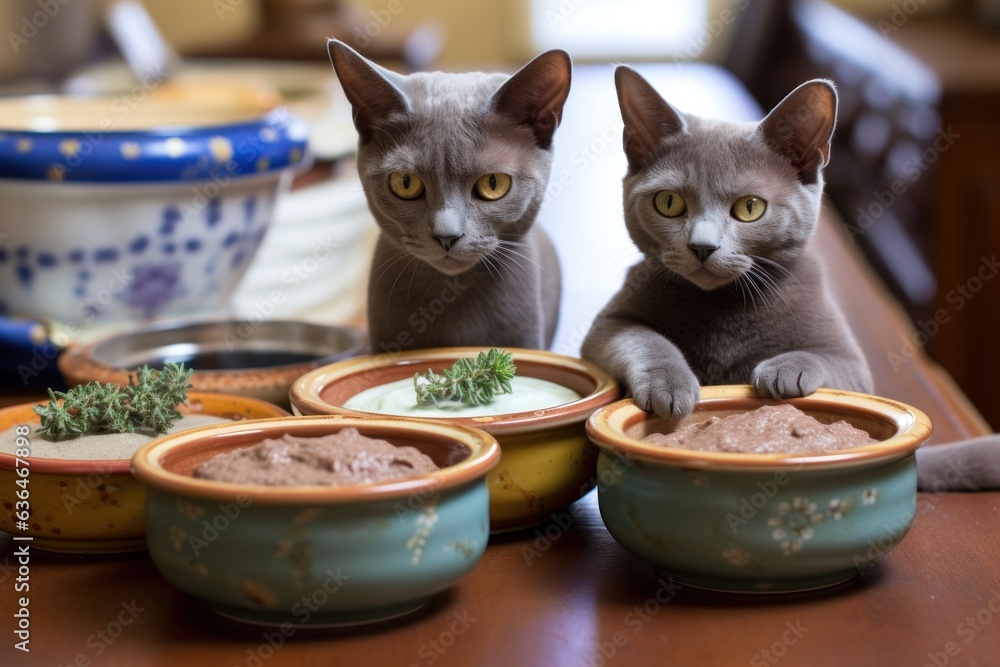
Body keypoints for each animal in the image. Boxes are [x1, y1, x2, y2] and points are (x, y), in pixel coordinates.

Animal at [584, 64, 872, 418]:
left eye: (750, 207)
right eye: (668, 202)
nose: (702, 246)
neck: (722, 306)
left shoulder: (854, 368)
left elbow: (824, 360)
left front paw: (785, 370)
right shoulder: (605, 327)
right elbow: (642, 337)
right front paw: (668, 384)